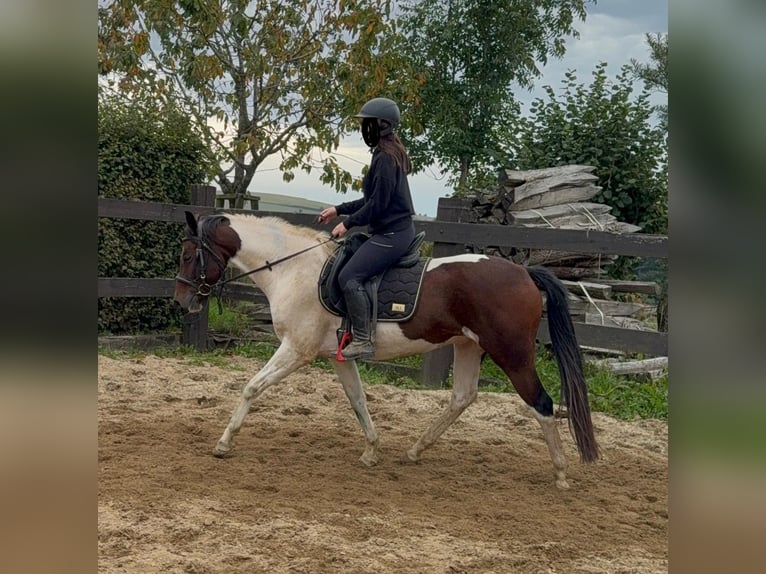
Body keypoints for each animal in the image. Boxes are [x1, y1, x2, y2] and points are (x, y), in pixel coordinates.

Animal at [173, 211, 599, 489]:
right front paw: (372, 451)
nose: (181, 302)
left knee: (542, 404)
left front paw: (224, 443)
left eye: (188, 255)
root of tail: (524, 272)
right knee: (462, 397)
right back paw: (415, 450)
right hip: (467, 347)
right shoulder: (336, 357)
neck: (294, 270)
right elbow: (358, 400)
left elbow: (251, 388)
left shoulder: (296, 350)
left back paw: (561, 473)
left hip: (512, 355)